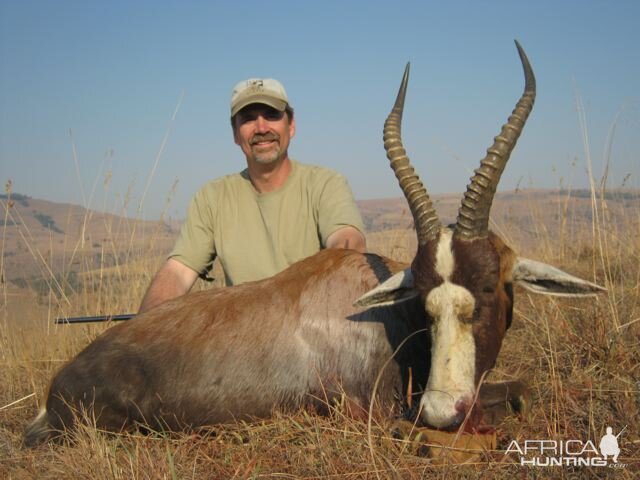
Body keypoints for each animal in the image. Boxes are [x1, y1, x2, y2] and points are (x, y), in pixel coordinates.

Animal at [23, 40, 604, 446]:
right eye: (423, 297)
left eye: (488, 287)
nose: (444, 411)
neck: (384, 318)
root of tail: (54, 392)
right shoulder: (379, 410)